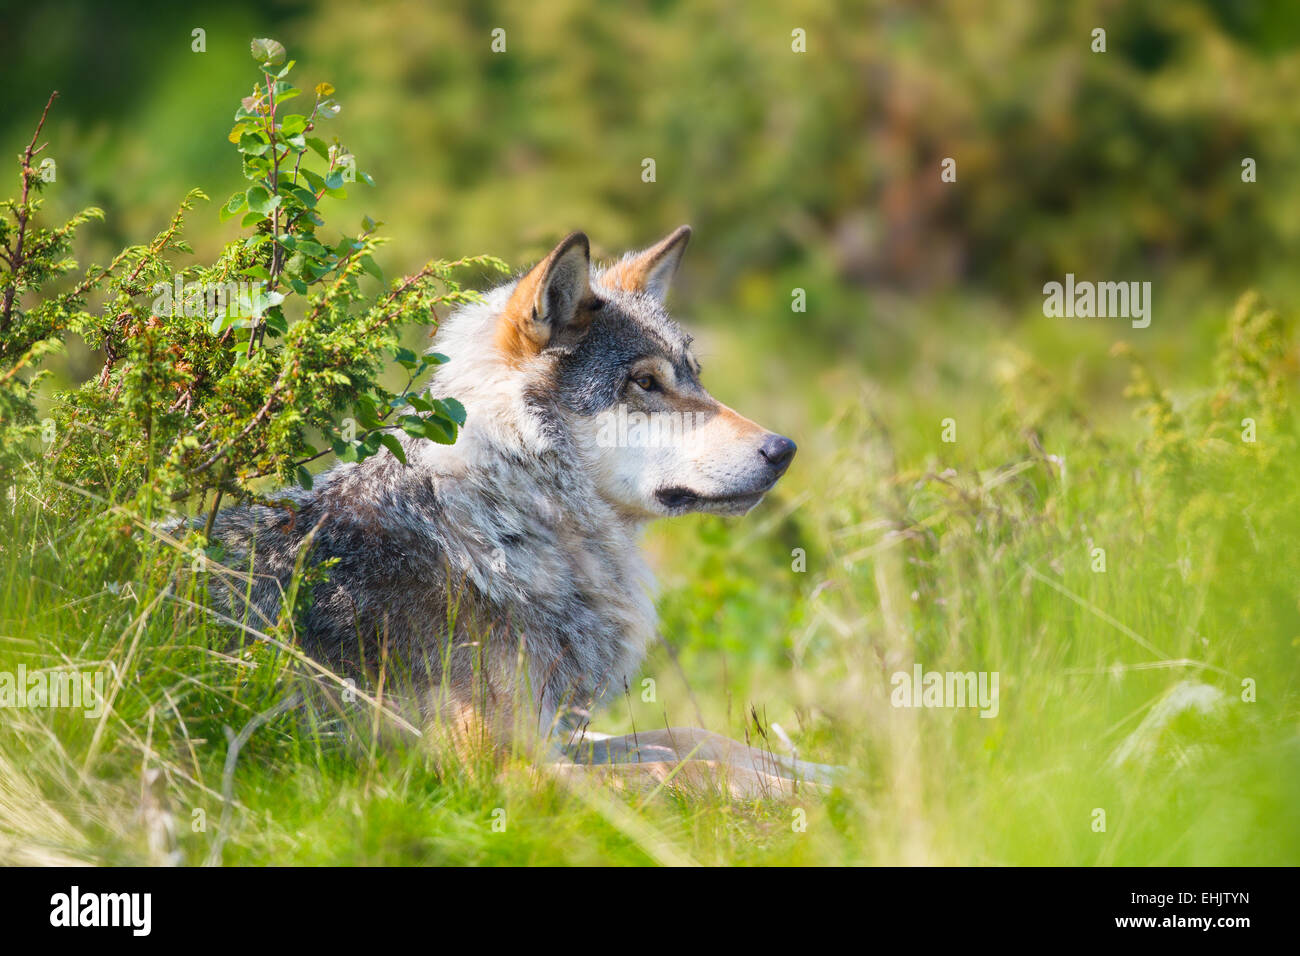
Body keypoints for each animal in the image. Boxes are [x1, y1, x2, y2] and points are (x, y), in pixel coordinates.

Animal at [209, 230, 837, 801]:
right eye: (646, 382)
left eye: (694, 377)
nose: (784, 450)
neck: (498, 527)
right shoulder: (501, 765)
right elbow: (683, 769)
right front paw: (817, 798)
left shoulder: (554, 736)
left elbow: (694, 737)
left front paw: (833, 771)